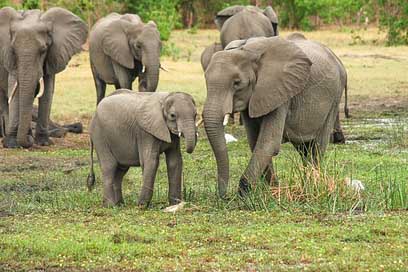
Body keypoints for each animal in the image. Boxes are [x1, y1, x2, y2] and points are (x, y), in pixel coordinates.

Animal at [0, 7, 88, 148]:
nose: (28, 141)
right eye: (13, 50)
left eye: (43, 51)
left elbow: (47, 92)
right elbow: (14, 91)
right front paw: (12, 144)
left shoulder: (53, 55)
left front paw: (43, 142)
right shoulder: (10, 59)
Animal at [204, 36, 348, 198]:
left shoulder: (280, 92)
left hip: (335, 97)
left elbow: (269, 143)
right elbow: (255, 141)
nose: (223, 196)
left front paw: (244, 194)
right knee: (304, 148)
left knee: (317, 146)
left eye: (237, 83)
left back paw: (313, 186)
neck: (246, 52)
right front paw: (272, 190)